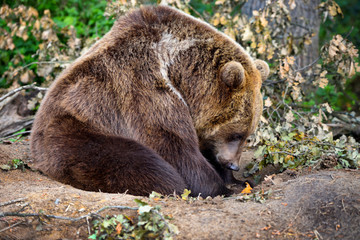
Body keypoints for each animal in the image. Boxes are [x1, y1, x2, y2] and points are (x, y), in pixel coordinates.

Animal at [30, 5, 268, 197]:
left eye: (248, 134)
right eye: (236, 134)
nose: (234, 165)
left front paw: (240, 181)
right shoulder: (145, 87)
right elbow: (174, 147)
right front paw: (220, 187)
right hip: (75, 131)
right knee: (142, 164)